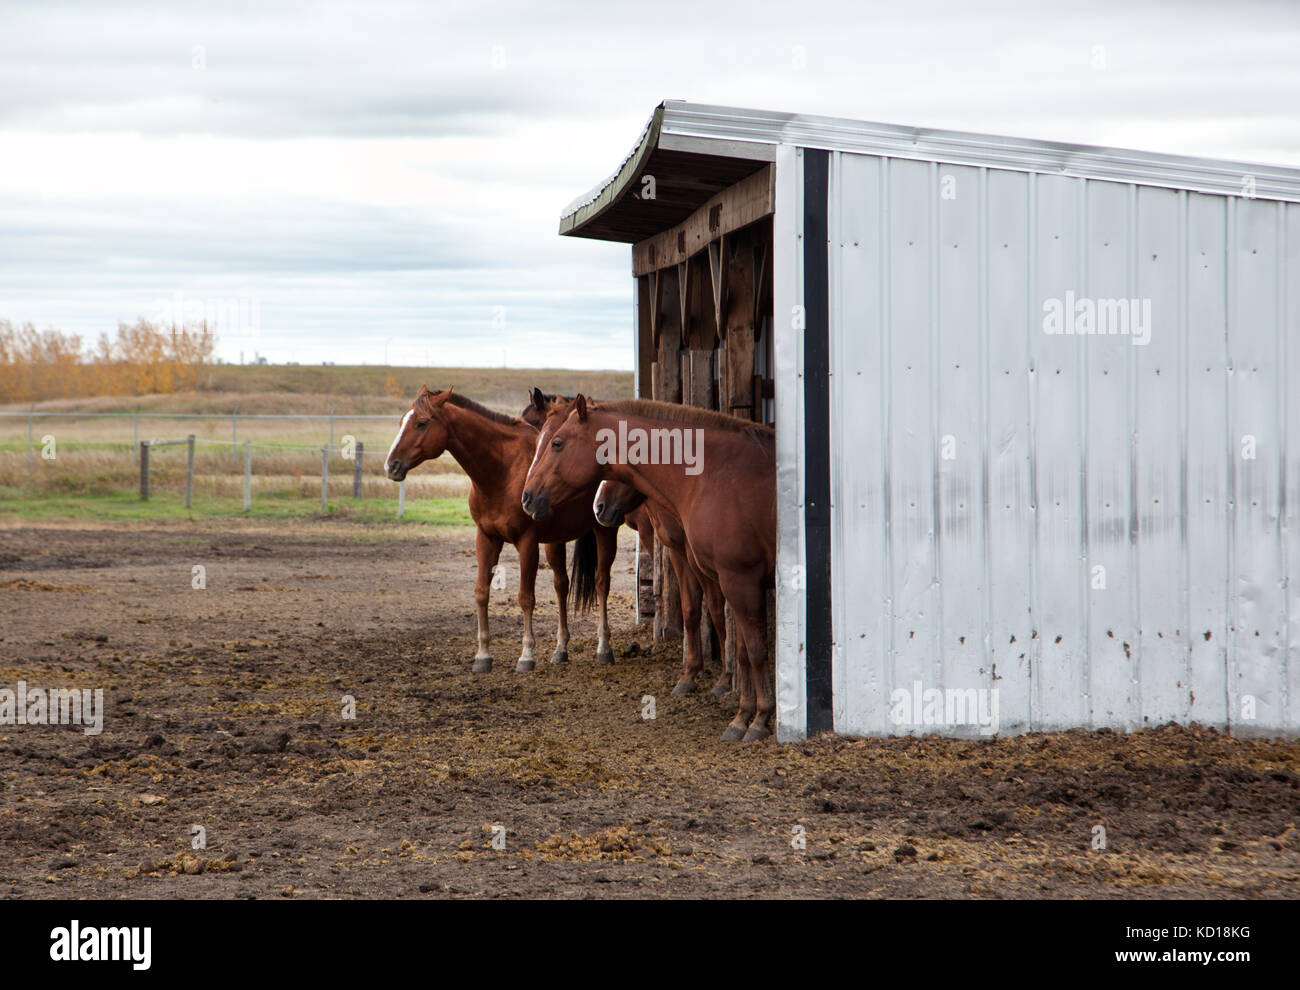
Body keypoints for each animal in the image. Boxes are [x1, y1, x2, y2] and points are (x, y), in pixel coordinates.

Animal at [384, 386, 617, 672]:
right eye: (402, 421)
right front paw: (483, 655)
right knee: (561, 585)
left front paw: (526, 655)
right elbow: (481, 593)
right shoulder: (486, 538)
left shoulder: (527, 543)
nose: (392, 465)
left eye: (421, 422)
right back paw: (560, 649)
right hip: (555, 542)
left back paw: (604, 648)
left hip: (604, 531)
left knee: (601, 583)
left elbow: (525, 597)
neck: (503, 471)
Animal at [521, 395, 776, 742]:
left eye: (557, 443)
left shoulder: (740, 579)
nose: (527, 497)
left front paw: (757, 718)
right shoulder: (722, 577)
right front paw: (740, 711)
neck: (714, 474)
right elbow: (735, 644)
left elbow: (753, 648)